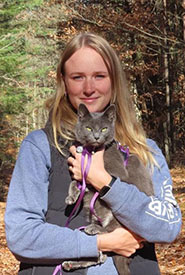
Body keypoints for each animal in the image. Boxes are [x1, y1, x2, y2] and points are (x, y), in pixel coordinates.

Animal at [62, 104, 154, 275]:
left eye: (104, 128)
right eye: (89, 128)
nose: (97, 136)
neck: (92, 151)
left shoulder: (117, 173)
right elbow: (75, 182)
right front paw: (71, 196)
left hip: (120, 216)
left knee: (113, 231)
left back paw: (94, 228)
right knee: (101, 256)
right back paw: (71, 263)